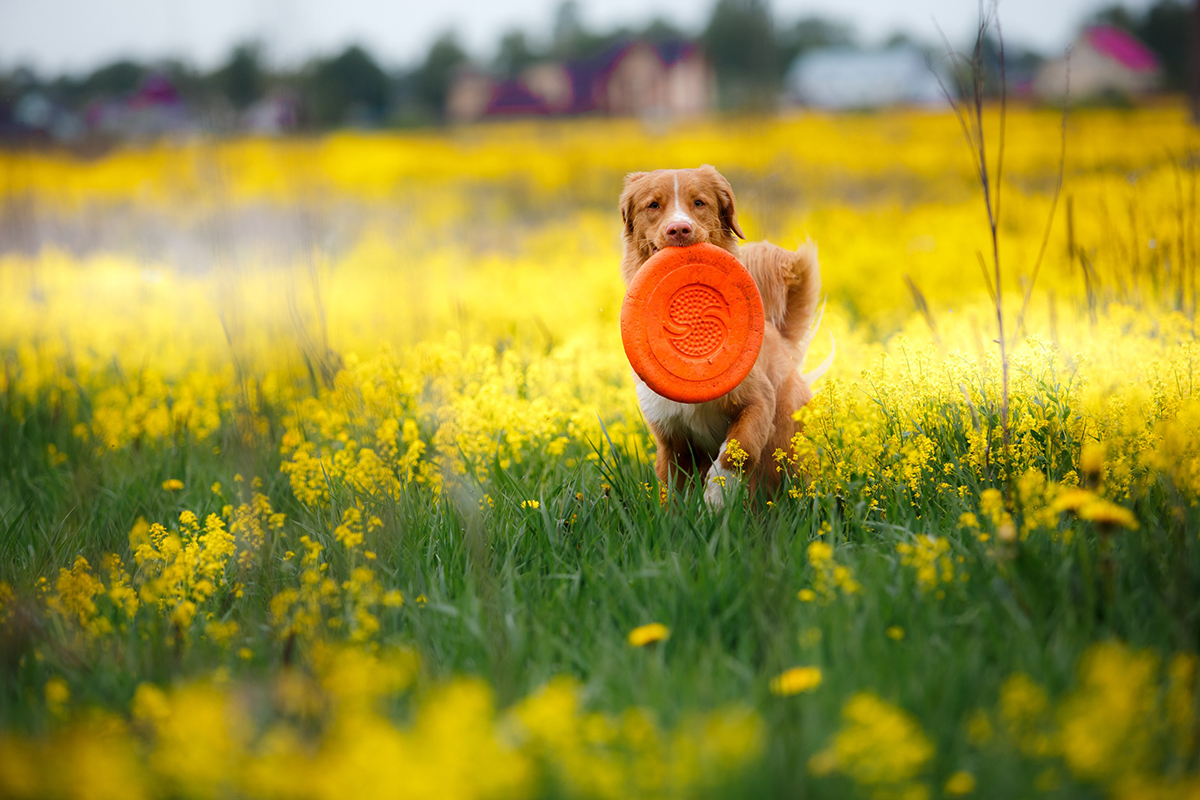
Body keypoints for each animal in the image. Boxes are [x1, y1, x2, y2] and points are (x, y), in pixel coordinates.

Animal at [619, 166, 825, 510]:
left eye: (699, 202)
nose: (679, 229)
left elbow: (739, 448)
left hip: (786, 443)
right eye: (653, 205)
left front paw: (717, 495)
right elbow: (672, 488)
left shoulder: (758, 401)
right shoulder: (670, 434)